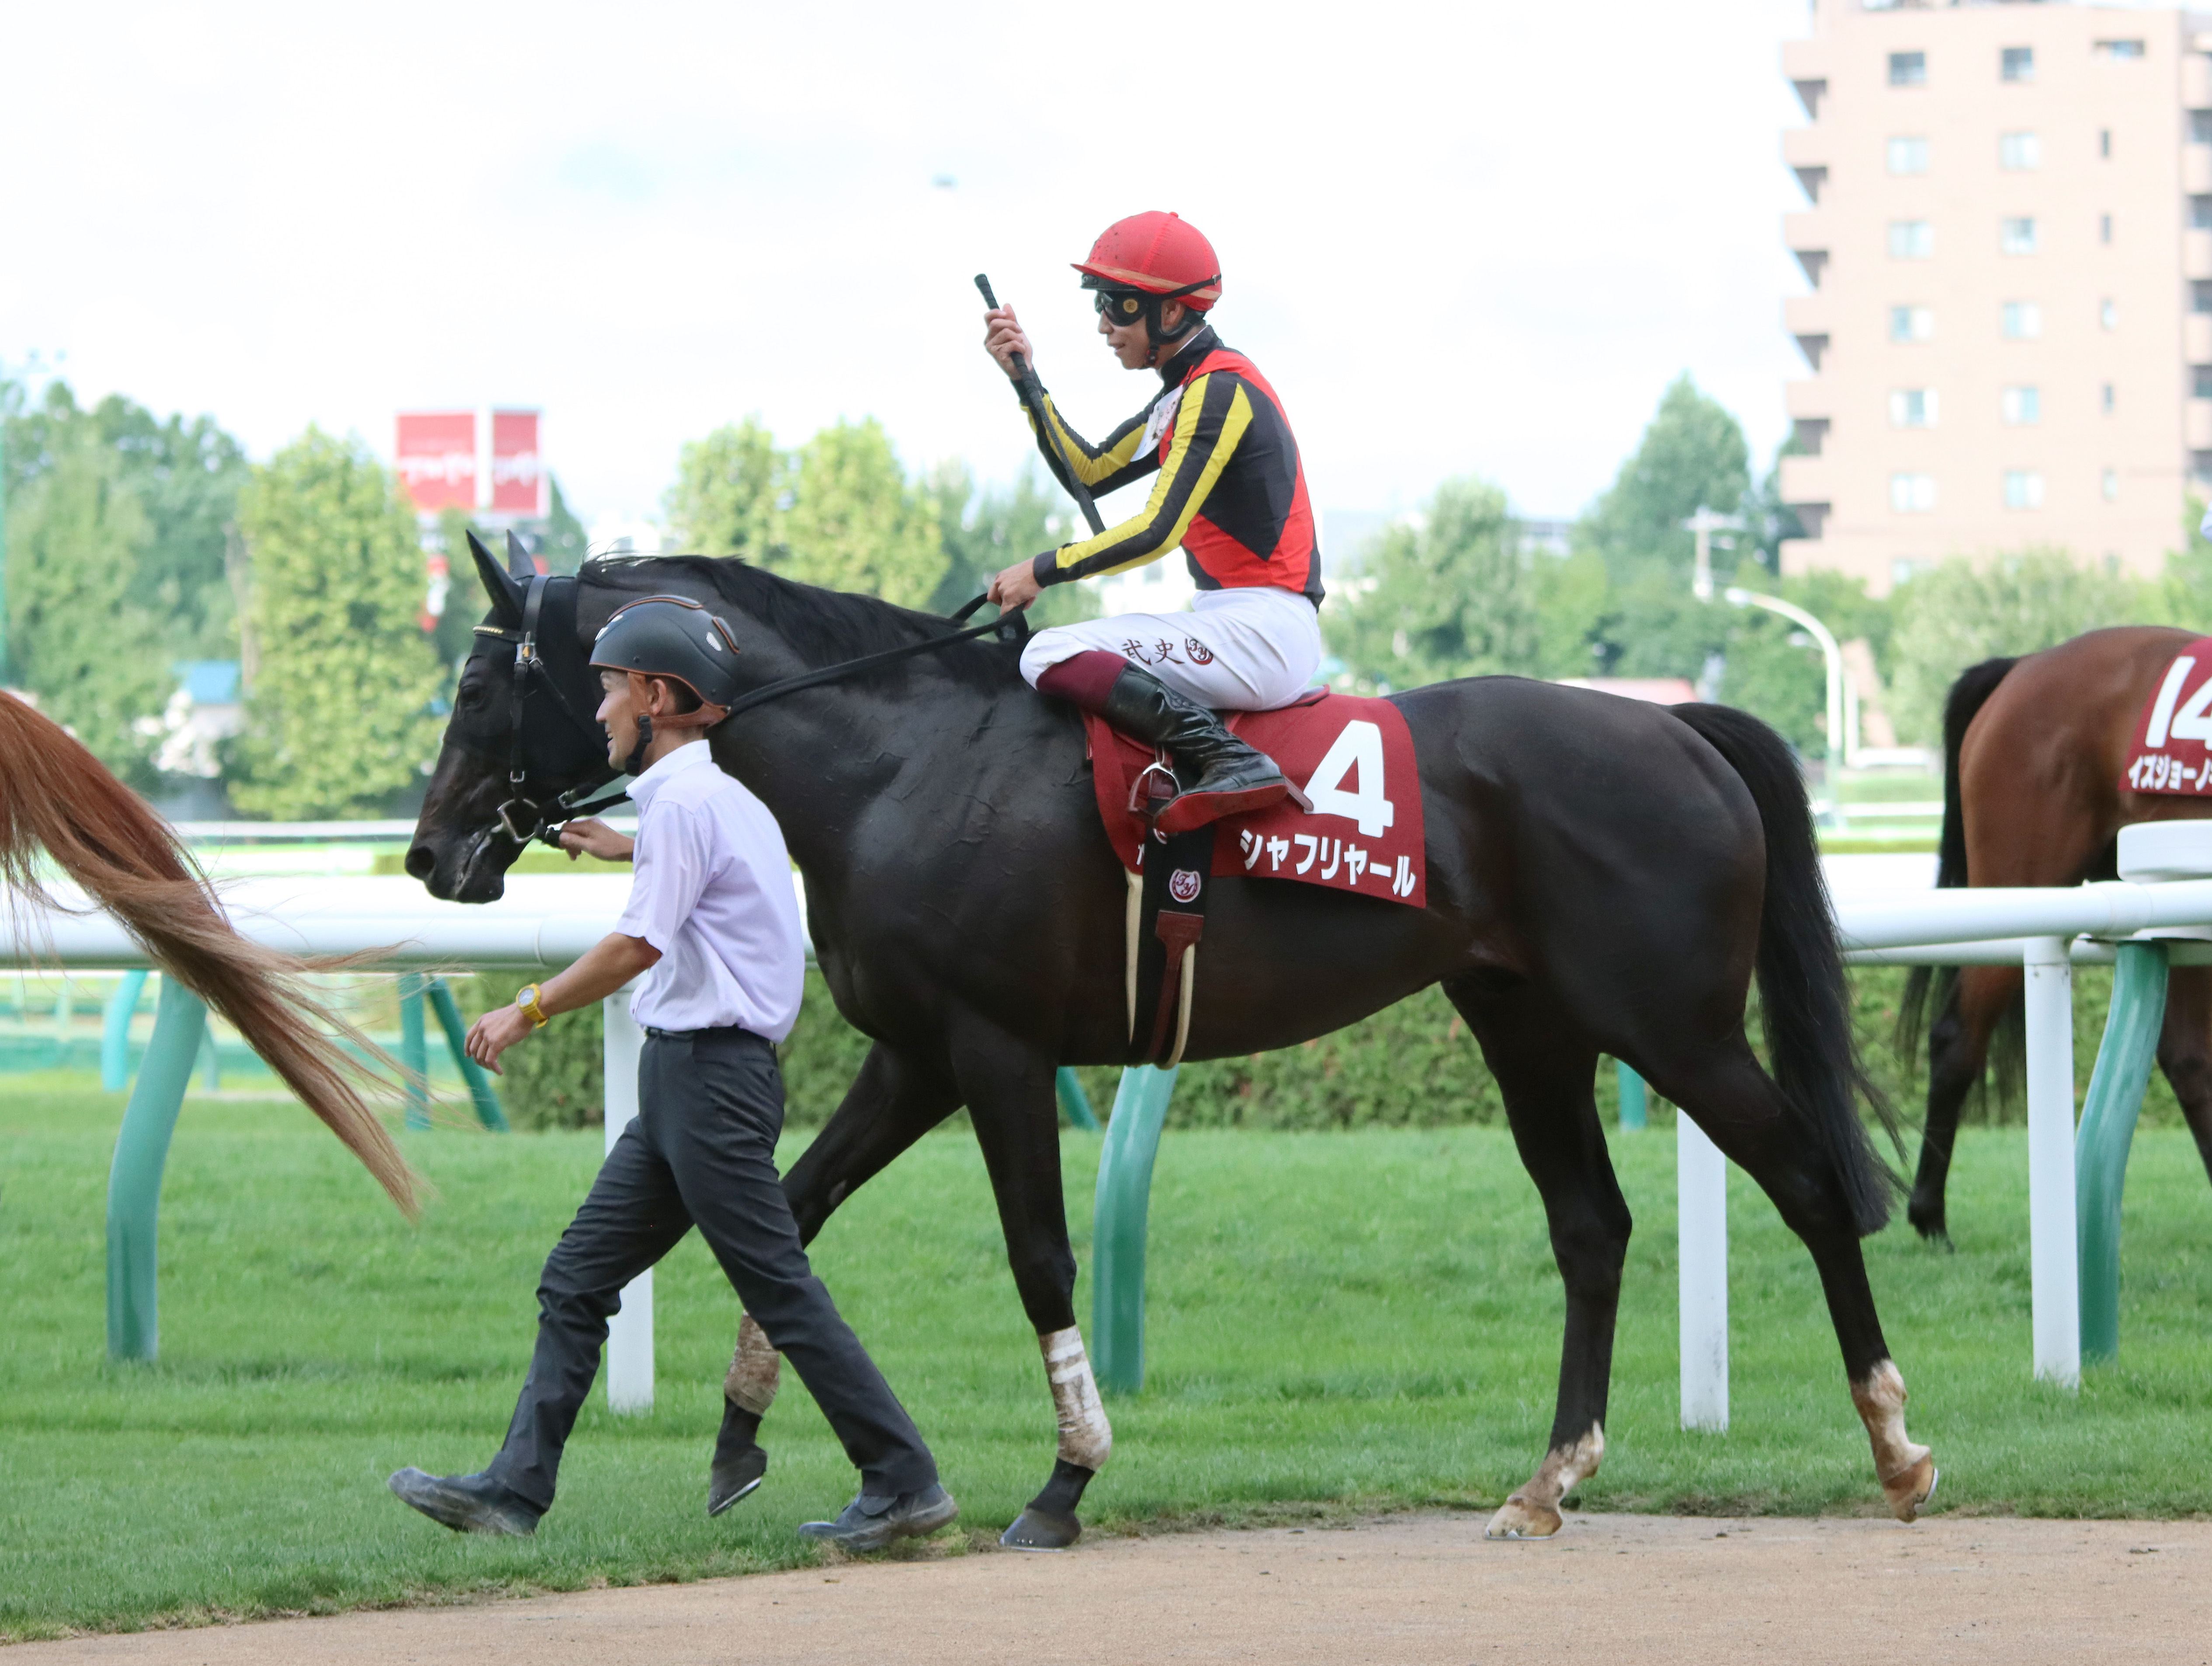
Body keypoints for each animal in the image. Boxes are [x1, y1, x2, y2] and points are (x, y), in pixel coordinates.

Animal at [411, 546, 1938, 1548]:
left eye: (479, 689)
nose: (431, 855)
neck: (903, 763)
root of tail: (1675, 729)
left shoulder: (997, 1049)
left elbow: (1037, 1254)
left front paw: (1064, 1481)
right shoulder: (913, 1056)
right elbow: (786, 1214)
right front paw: (747, 1444)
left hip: (1666, 1022)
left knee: (1810, 1182)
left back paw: (1896, 1446)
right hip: (1526, 1022)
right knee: (1590, 1226)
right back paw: (1545, 1480)